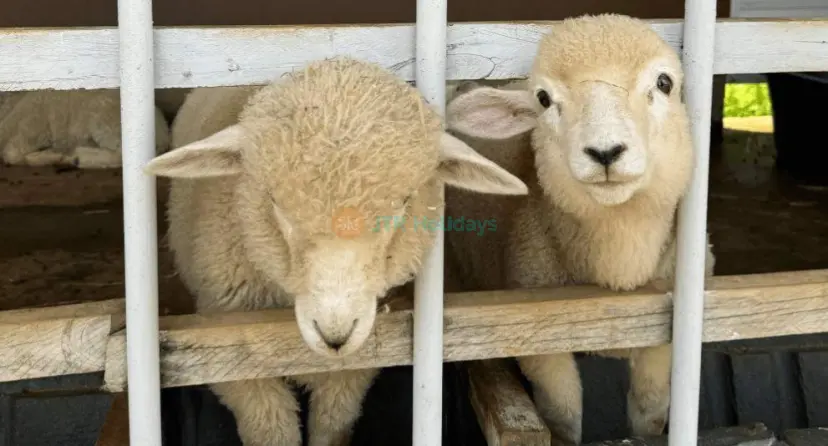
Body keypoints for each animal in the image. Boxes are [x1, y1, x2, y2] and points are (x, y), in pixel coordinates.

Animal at [0, 89, 170, 168]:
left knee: (121, 155)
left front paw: (51, 156)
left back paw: (77, 156)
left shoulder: (30, 126)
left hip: (103, 120)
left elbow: (12, 154)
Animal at [144, 57, 529, 446]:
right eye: (274, 201)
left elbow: (332, 426)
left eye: (404, 202)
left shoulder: (351, 373)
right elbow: (272, 431)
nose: (335, 336)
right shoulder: (242, 368)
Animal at [442, 14, 716, 444]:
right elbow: (563, 418)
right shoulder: (543, 347)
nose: (605, 152)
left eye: (664, 83)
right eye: (543, 99)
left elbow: (650, 411)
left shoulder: (664, 341)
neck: (618, 274)